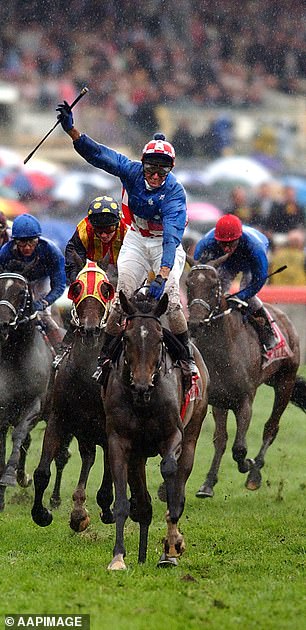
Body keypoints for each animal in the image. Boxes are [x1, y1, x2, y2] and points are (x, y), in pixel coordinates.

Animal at [31, 262, 115, 532]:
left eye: (106, 289)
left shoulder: (109, 428)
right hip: (83, 431)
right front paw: (42, 513)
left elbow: (109, 477)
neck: (87, 376)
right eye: (76, 288)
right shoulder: (59, 419)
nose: (89, 329)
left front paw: (107, 510)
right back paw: (78, 509)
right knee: (88, 457)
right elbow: (42, 472)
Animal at [101, 292, 209, 572]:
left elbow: (169, 473)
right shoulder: (119, 442)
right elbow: (123, 502)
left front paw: (172, 547)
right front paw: (118, 557)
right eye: (126, 338)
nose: (141, 385)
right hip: (138, 455)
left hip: (193, 433)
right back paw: (141, 554)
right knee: (143, 502)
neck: (143, 400)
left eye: (159, 339)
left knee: (179, 481)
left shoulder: (173, 435)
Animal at [185, 256, 306, 498]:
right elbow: (220, 440)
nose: (194, 322)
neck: (223, 352)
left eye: (214, 286)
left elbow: (239, 448)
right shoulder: (219, 400)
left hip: (285, 383)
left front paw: (247, 465)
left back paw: (254, 474)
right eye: (188, 284)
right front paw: (208, 483)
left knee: (271, 427)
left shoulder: (245, 402)